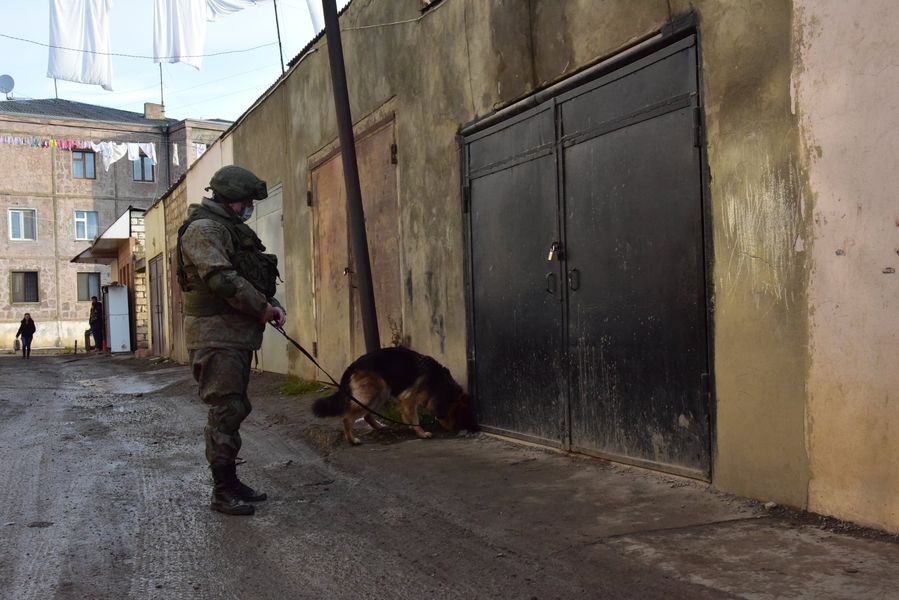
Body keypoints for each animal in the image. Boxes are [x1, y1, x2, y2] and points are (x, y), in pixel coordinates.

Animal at [312, 346, 474, 446]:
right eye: (456, 414)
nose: (454, 429)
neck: (440, 382)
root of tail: (352, 366)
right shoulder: (408, 400)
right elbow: (414, 418)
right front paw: (421, 433)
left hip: (382, 392)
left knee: (367, 415)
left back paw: (379, 427)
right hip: (373, 392)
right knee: (347, 418)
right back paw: (352, 440)